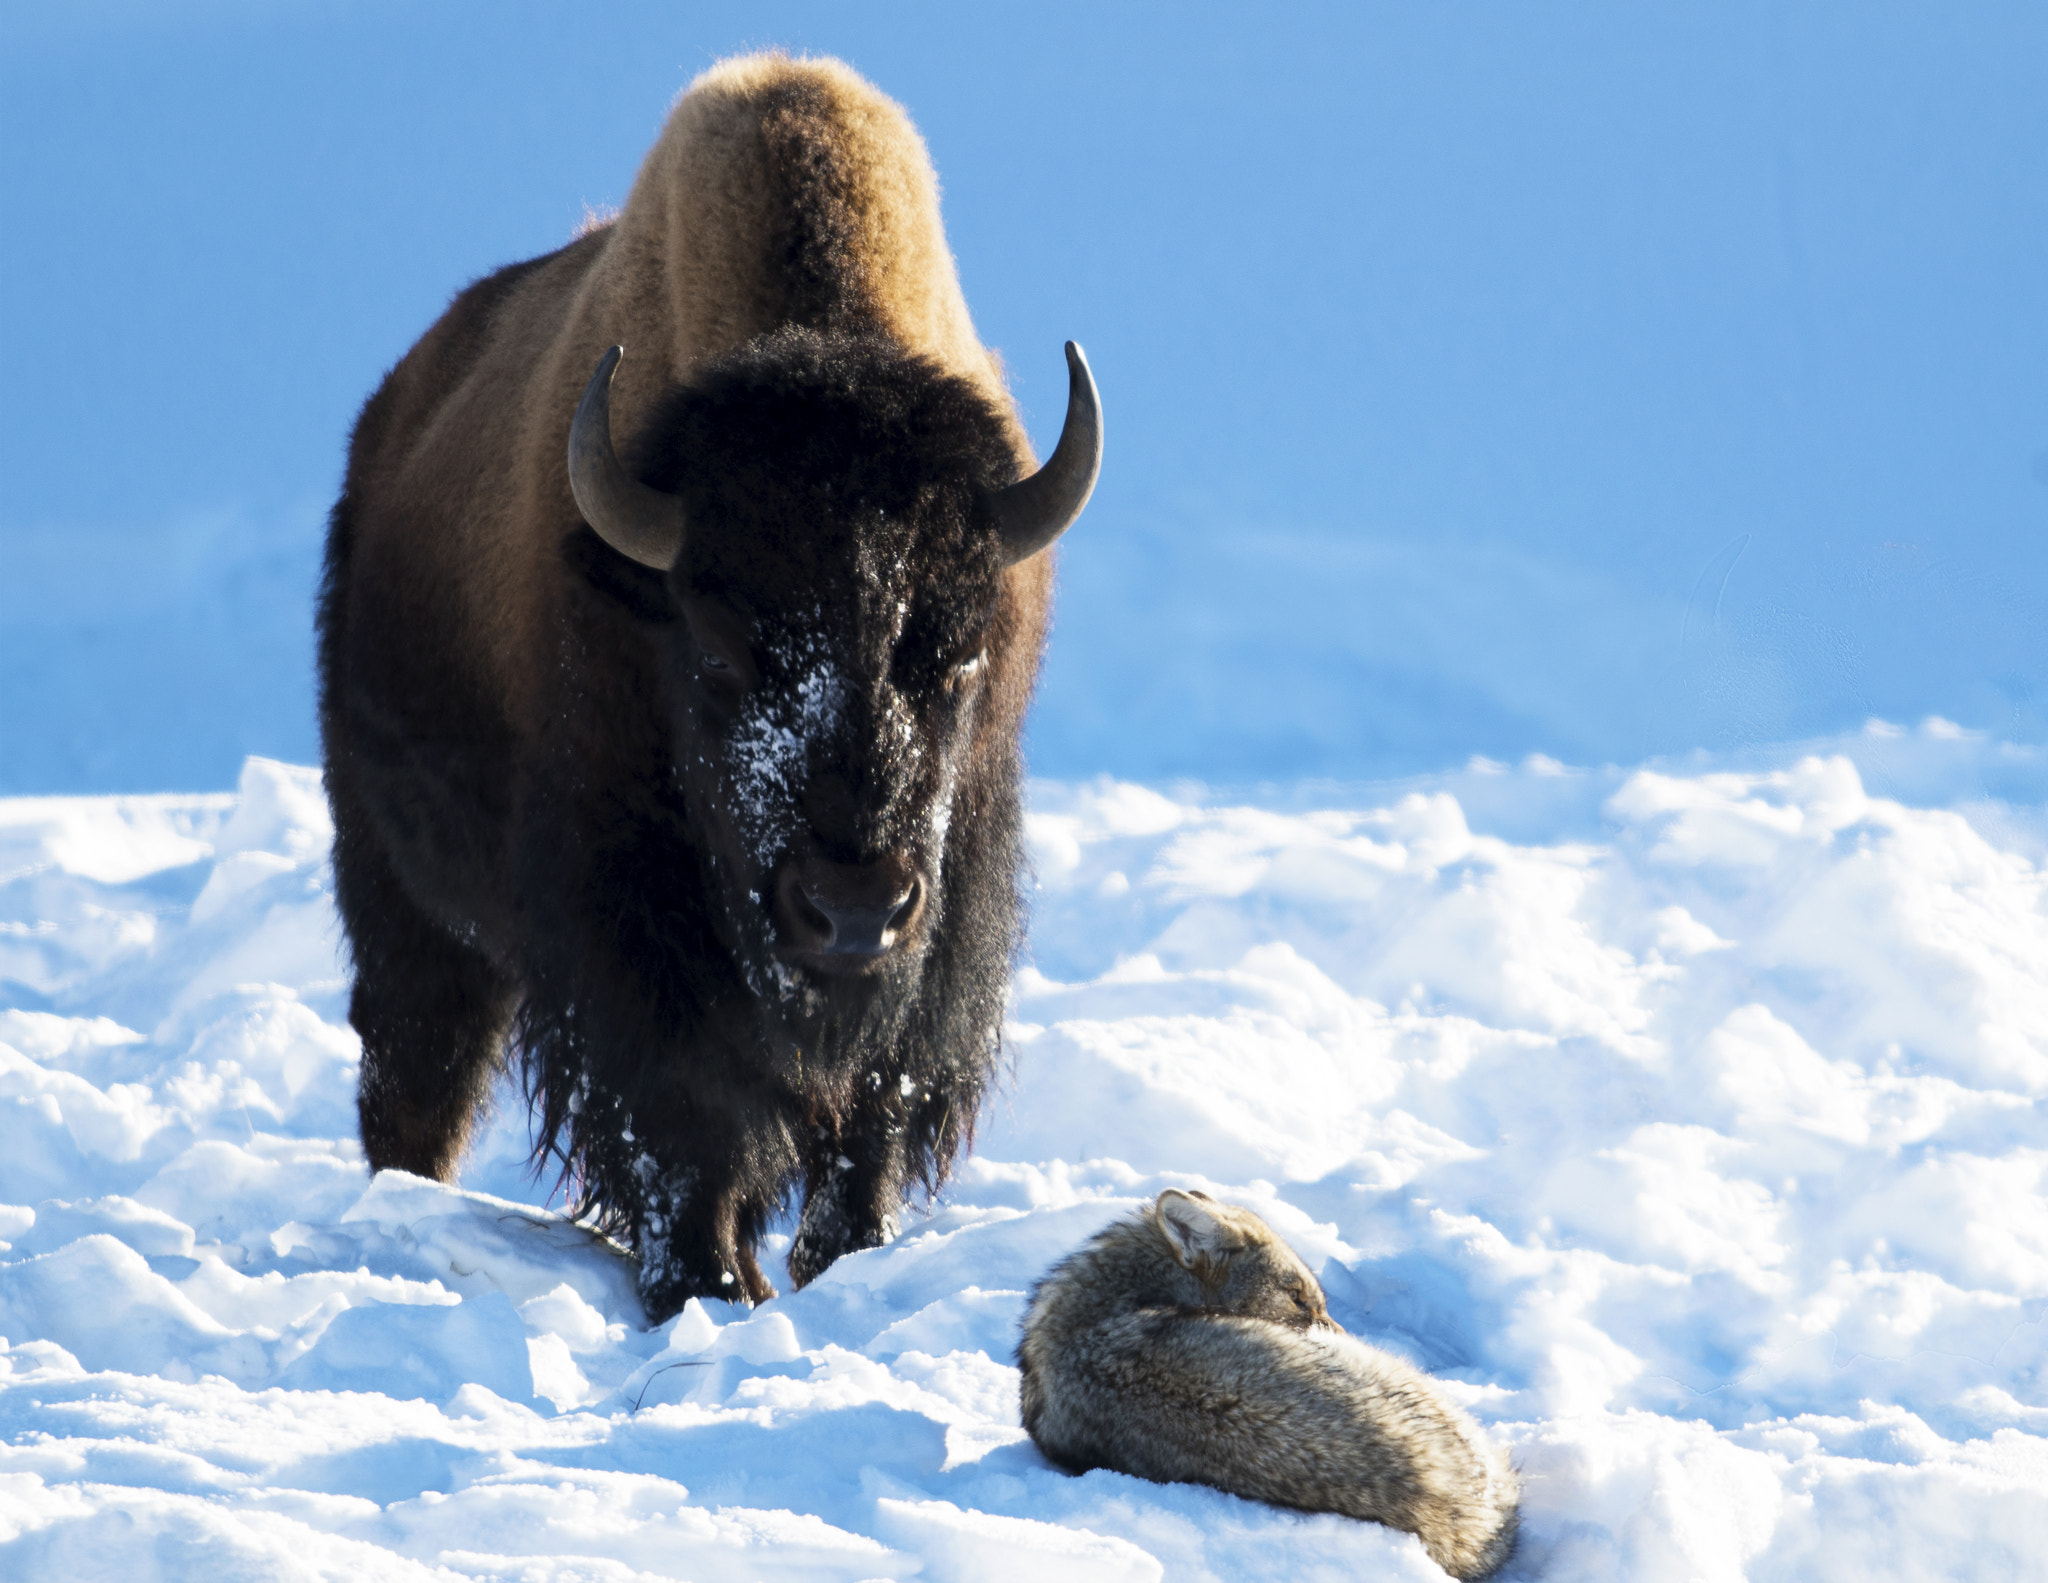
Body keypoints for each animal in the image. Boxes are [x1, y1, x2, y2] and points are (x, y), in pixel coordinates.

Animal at [315, 55, 1105, 1318]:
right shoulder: (625, 916)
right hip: (398, 895)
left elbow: (868, 1107)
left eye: (958, 650)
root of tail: (388, 422)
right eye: (720, 647)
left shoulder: (944, 920)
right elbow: (682, 1113)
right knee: (415, 1072)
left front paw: (838, 1258)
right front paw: (705, 1283)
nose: (851, 909)